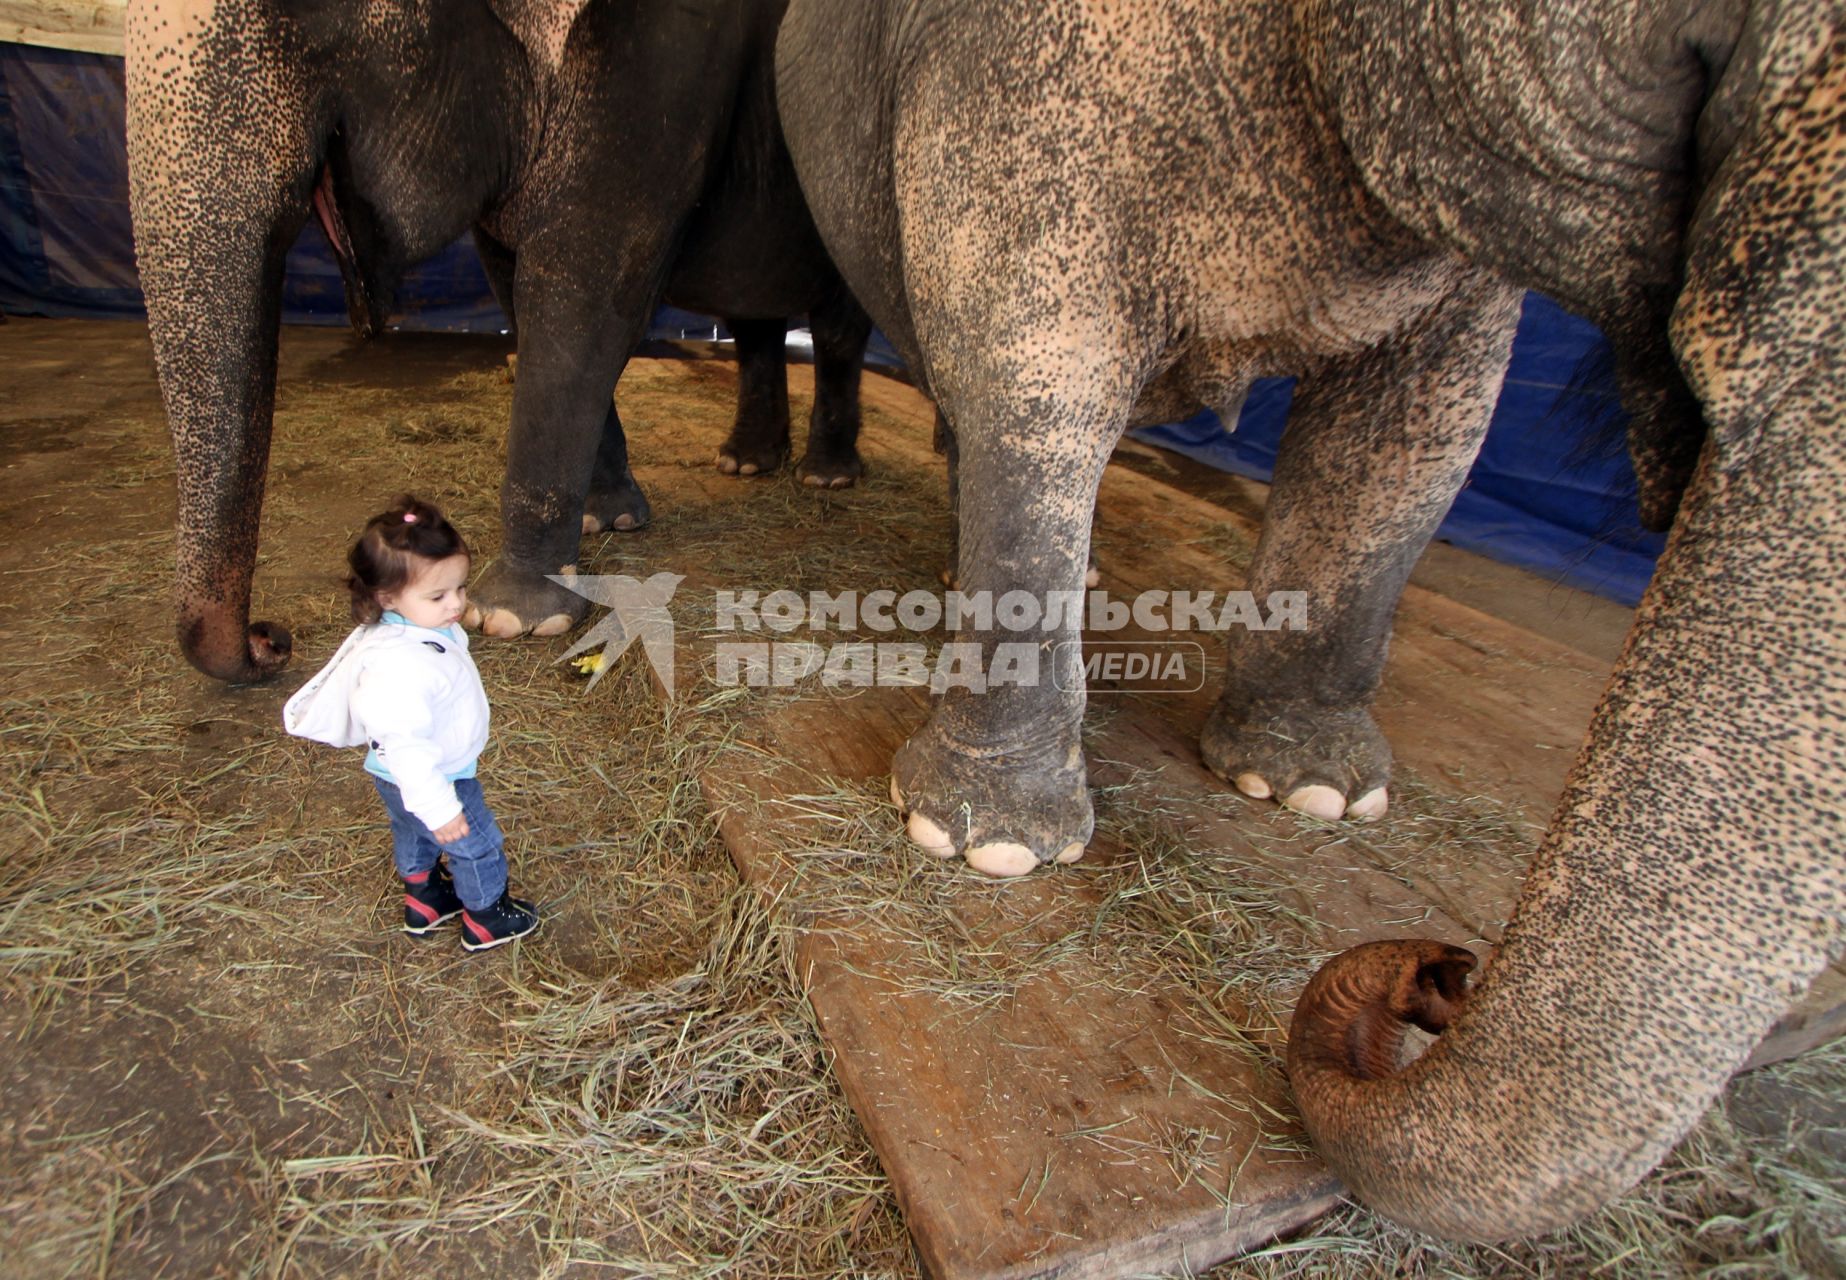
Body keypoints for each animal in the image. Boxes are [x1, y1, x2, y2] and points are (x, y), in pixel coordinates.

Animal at [128, 0, 871, 679]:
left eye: (310, 20)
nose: (271, 639)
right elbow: (514, 283)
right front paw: (609, 523)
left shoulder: (663, 62)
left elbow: (583, 293)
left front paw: (513, 619)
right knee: (756, 319)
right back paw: (745, 464)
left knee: (837, 320)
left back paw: (825, 476)